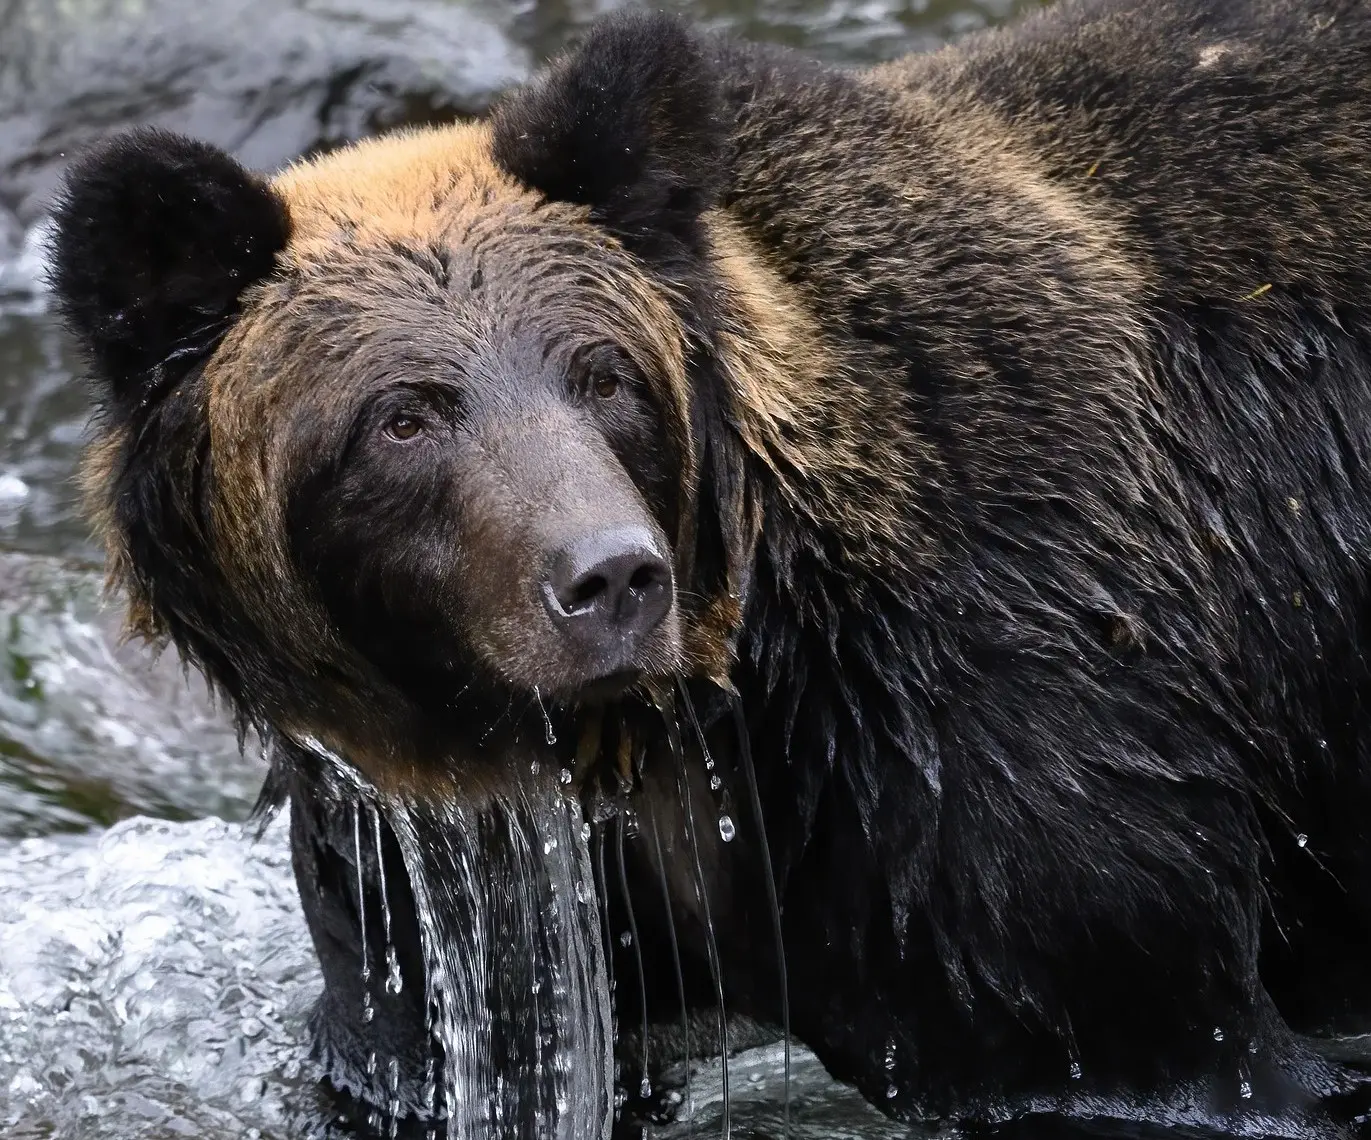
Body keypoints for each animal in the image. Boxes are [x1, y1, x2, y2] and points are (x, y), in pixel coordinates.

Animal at [44, 0, 1371, 1135]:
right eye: (403, 416)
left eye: (600, 373)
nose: (610, 579)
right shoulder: (440, 887)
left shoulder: (1010, 750)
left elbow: (1149, 1019)